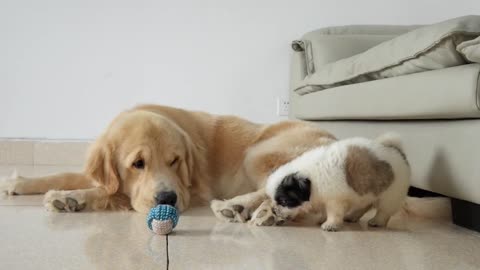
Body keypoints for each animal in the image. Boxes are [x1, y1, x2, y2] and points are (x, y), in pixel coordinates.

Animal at [266, 134, 408, 231]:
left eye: (284, 201)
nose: (273, 210)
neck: (312, 176)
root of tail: (397, 151)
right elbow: (324, 211)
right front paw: (323, 218)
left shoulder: (335, 201)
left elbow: (334, 213)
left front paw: (330, 224)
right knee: (365, 205)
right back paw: (352, 216)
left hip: (390, 195)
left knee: (384, 211)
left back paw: (377, 221)